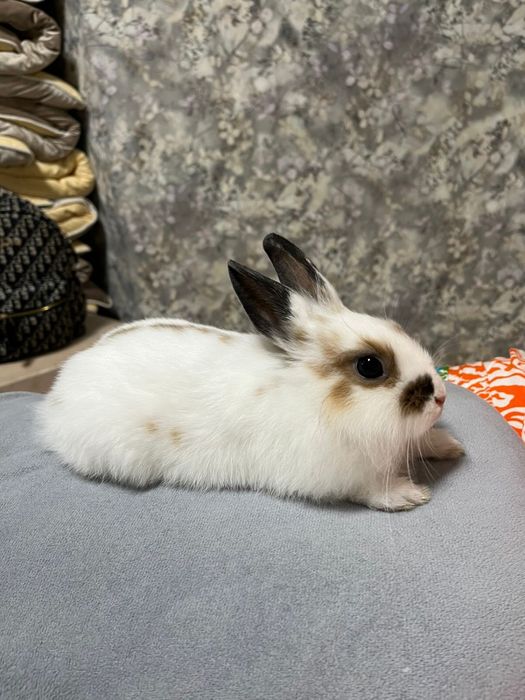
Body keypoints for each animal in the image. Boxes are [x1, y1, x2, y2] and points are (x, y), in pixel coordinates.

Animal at [38, 233, 463, 511]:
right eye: (370, 366)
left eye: (398, 328)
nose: (441, 397)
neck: (317, 394)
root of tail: (56, 396)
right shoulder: (339, 474)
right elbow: (370, 490)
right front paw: (409, 495)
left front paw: (449, 445)